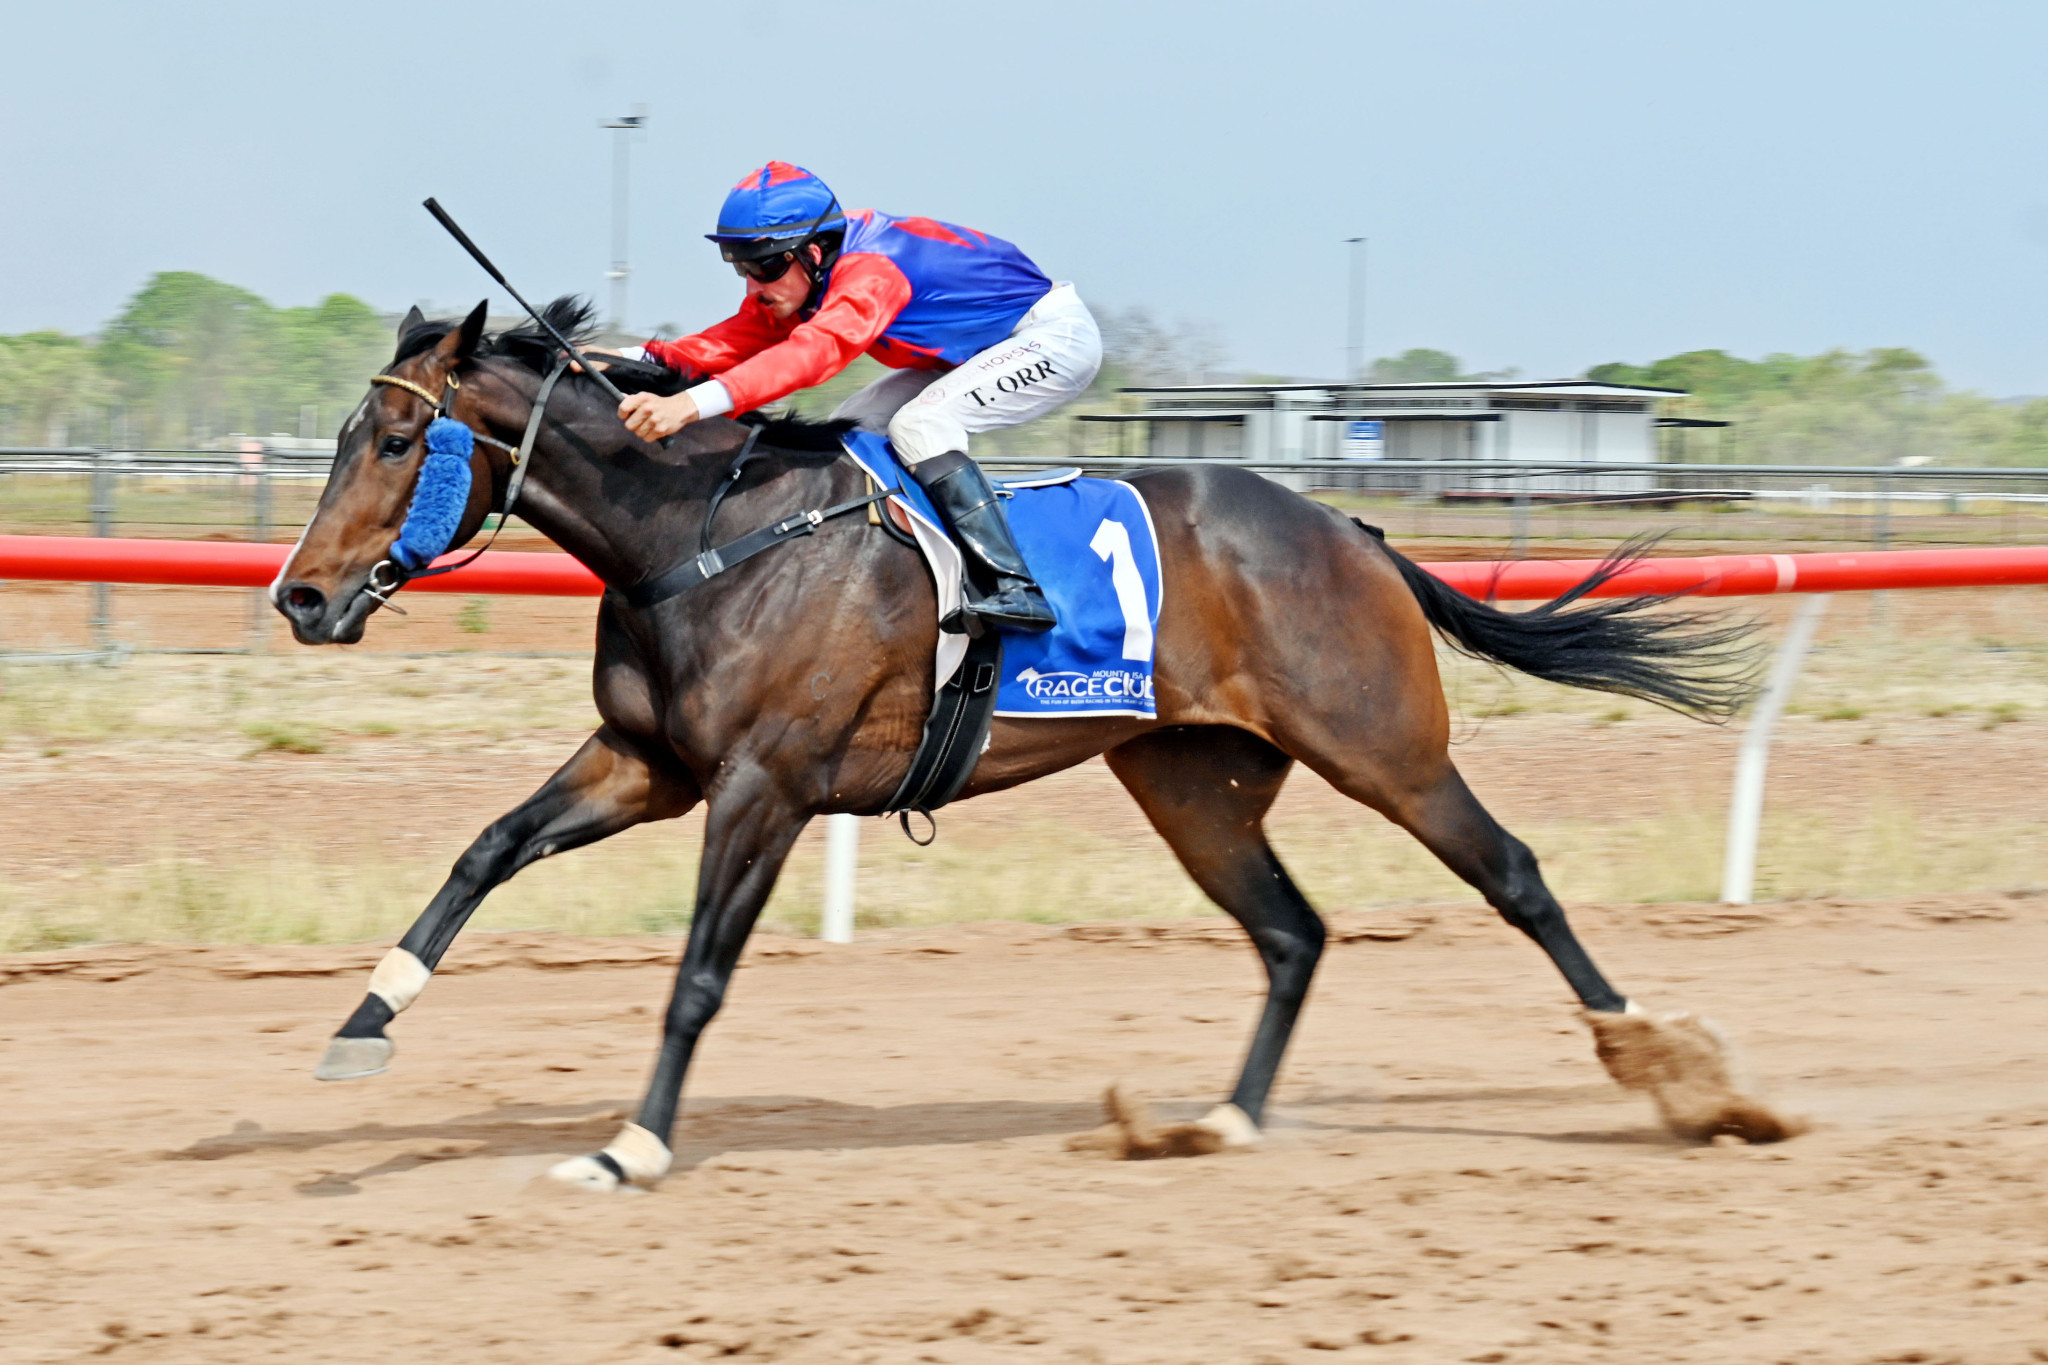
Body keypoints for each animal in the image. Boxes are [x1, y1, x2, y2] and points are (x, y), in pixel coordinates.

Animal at [272, 300, 1777, 1195]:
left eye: (399, 438)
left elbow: (697, 975)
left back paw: (1669, 1071)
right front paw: (357, 1030)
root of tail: (1350, 530)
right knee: (1291, 933)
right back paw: (1220, 1119)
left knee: (1510, 872)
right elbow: (484, 853)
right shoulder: (648, 766)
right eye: (341, 431)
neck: (699, 533)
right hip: (1190, 781)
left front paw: (631, 1143)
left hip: (1382, 746)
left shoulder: (762, 788)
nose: (299, 596)